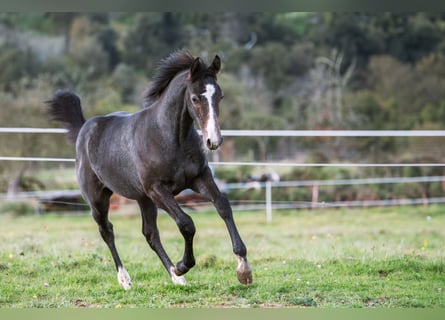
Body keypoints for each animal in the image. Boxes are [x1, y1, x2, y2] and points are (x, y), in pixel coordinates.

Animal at [47, 50, 253, 290]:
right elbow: (186, 223)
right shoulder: (157, 190)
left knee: (150, 234)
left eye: (219, 96)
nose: (214, 141)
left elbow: (223, 206)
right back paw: (126, 279)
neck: (168, 137)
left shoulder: (199, 178)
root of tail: (84, 127)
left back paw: (176, 277)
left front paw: (243, 269)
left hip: (143, 199)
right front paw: (183, 265)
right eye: (195, 98)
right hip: (98, 200)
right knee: (107, 231)